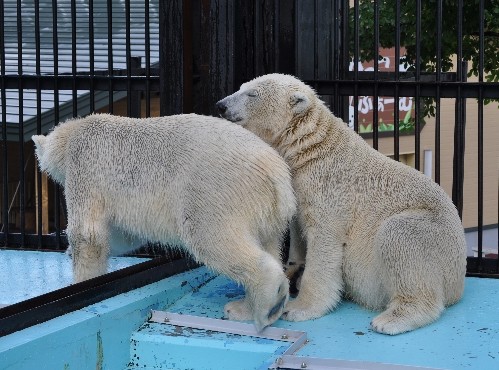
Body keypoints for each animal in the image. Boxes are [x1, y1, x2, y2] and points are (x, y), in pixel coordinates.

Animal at [32, 112, 296, 330]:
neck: (73, 134)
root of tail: (275, 171)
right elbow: (125, 235)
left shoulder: (85, 167)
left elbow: (88, 235)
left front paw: (81, 279)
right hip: (267, 210)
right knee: (268, 243)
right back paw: (247, 307)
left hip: (214, 193)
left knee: (213, 239)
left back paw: (264, 304)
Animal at [218, 73, 468, 334]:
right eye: (241, 87)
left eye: (252, 94)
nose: (221, 105)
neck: (310, 148)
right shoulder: (300, 187)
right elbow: (298, 232)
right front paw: (241, 305)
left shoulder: (331, 191)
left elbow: (325, 244)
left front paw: (298, 308)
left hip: (432, 234)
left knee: (400, 238)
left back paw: (390, 320)